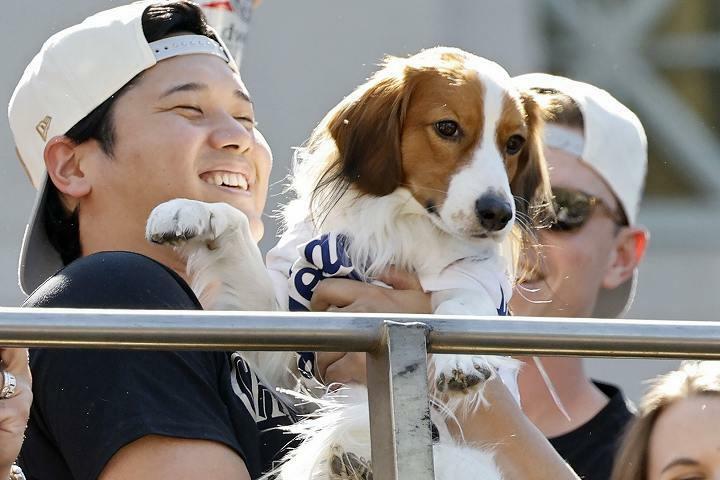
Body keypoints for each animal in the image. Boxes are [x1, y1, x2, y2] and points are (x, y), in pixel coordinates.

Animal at [145, 46, 552, 480]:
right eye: (447, 127)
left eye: (514, 142)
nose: (499, 214)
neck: (400, 225)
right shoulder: (288, 344)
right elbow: (233, 220)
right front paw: (190, 210)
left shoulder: (475, 280)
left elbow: (463, 303)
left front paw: (462, 358)